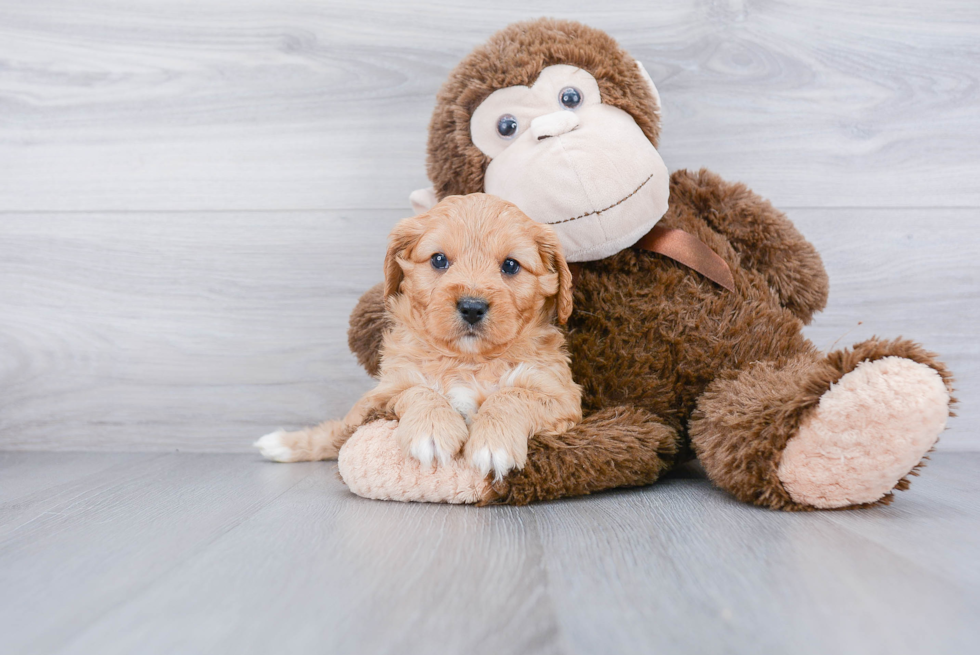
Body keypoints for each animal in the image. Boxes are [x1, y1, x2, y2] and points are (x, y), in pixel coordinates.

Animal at [256, 192, 584, 480]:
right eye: (439, 260)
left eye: (511, 265)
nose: (472, 307)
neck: (467, 360)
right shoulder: (385, 390)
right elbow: (418, 389)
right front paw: (431, 430)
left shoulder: (562, 397)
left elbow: (512, 394)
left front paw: (494, 443)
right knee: (337, 431)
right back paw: (283, 444)